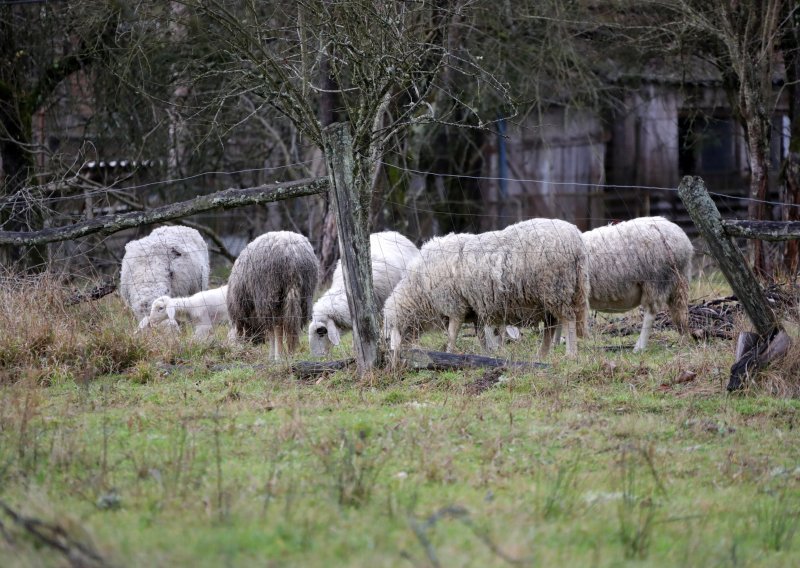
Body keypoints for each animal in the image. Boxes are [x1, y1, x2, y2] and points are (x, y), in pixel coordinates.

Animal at [225, 231, 318, 360]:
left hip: (269, 293)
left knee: (277, 326)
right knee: (291, 326)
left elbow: (271, 332)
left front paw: (272, 356)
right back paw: (291, 354)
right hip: (304, 295)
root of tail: (292, 255)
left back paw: (278, 356)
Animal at [384, 219, 592, 358]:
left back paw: (570, 354)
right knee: (551, 327)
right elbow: (480, 335)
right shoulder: (474, 309)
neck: (419, 288)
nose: (393, 352)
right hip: (549, 296)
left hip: (555, 289)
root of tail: (576, 240)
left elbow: (452, 334)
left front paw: (449, 353)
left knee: (568, 320)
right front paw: (487, 353)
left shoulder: (455, 306)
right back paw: (541, 355)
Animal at [580, 216, 692, 350]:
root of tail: (681, 237)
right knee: (680, 312)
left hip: (656, 281)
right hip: (677, 282)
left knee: (650, 313)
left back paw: (640, 347)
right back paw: (683, 339)